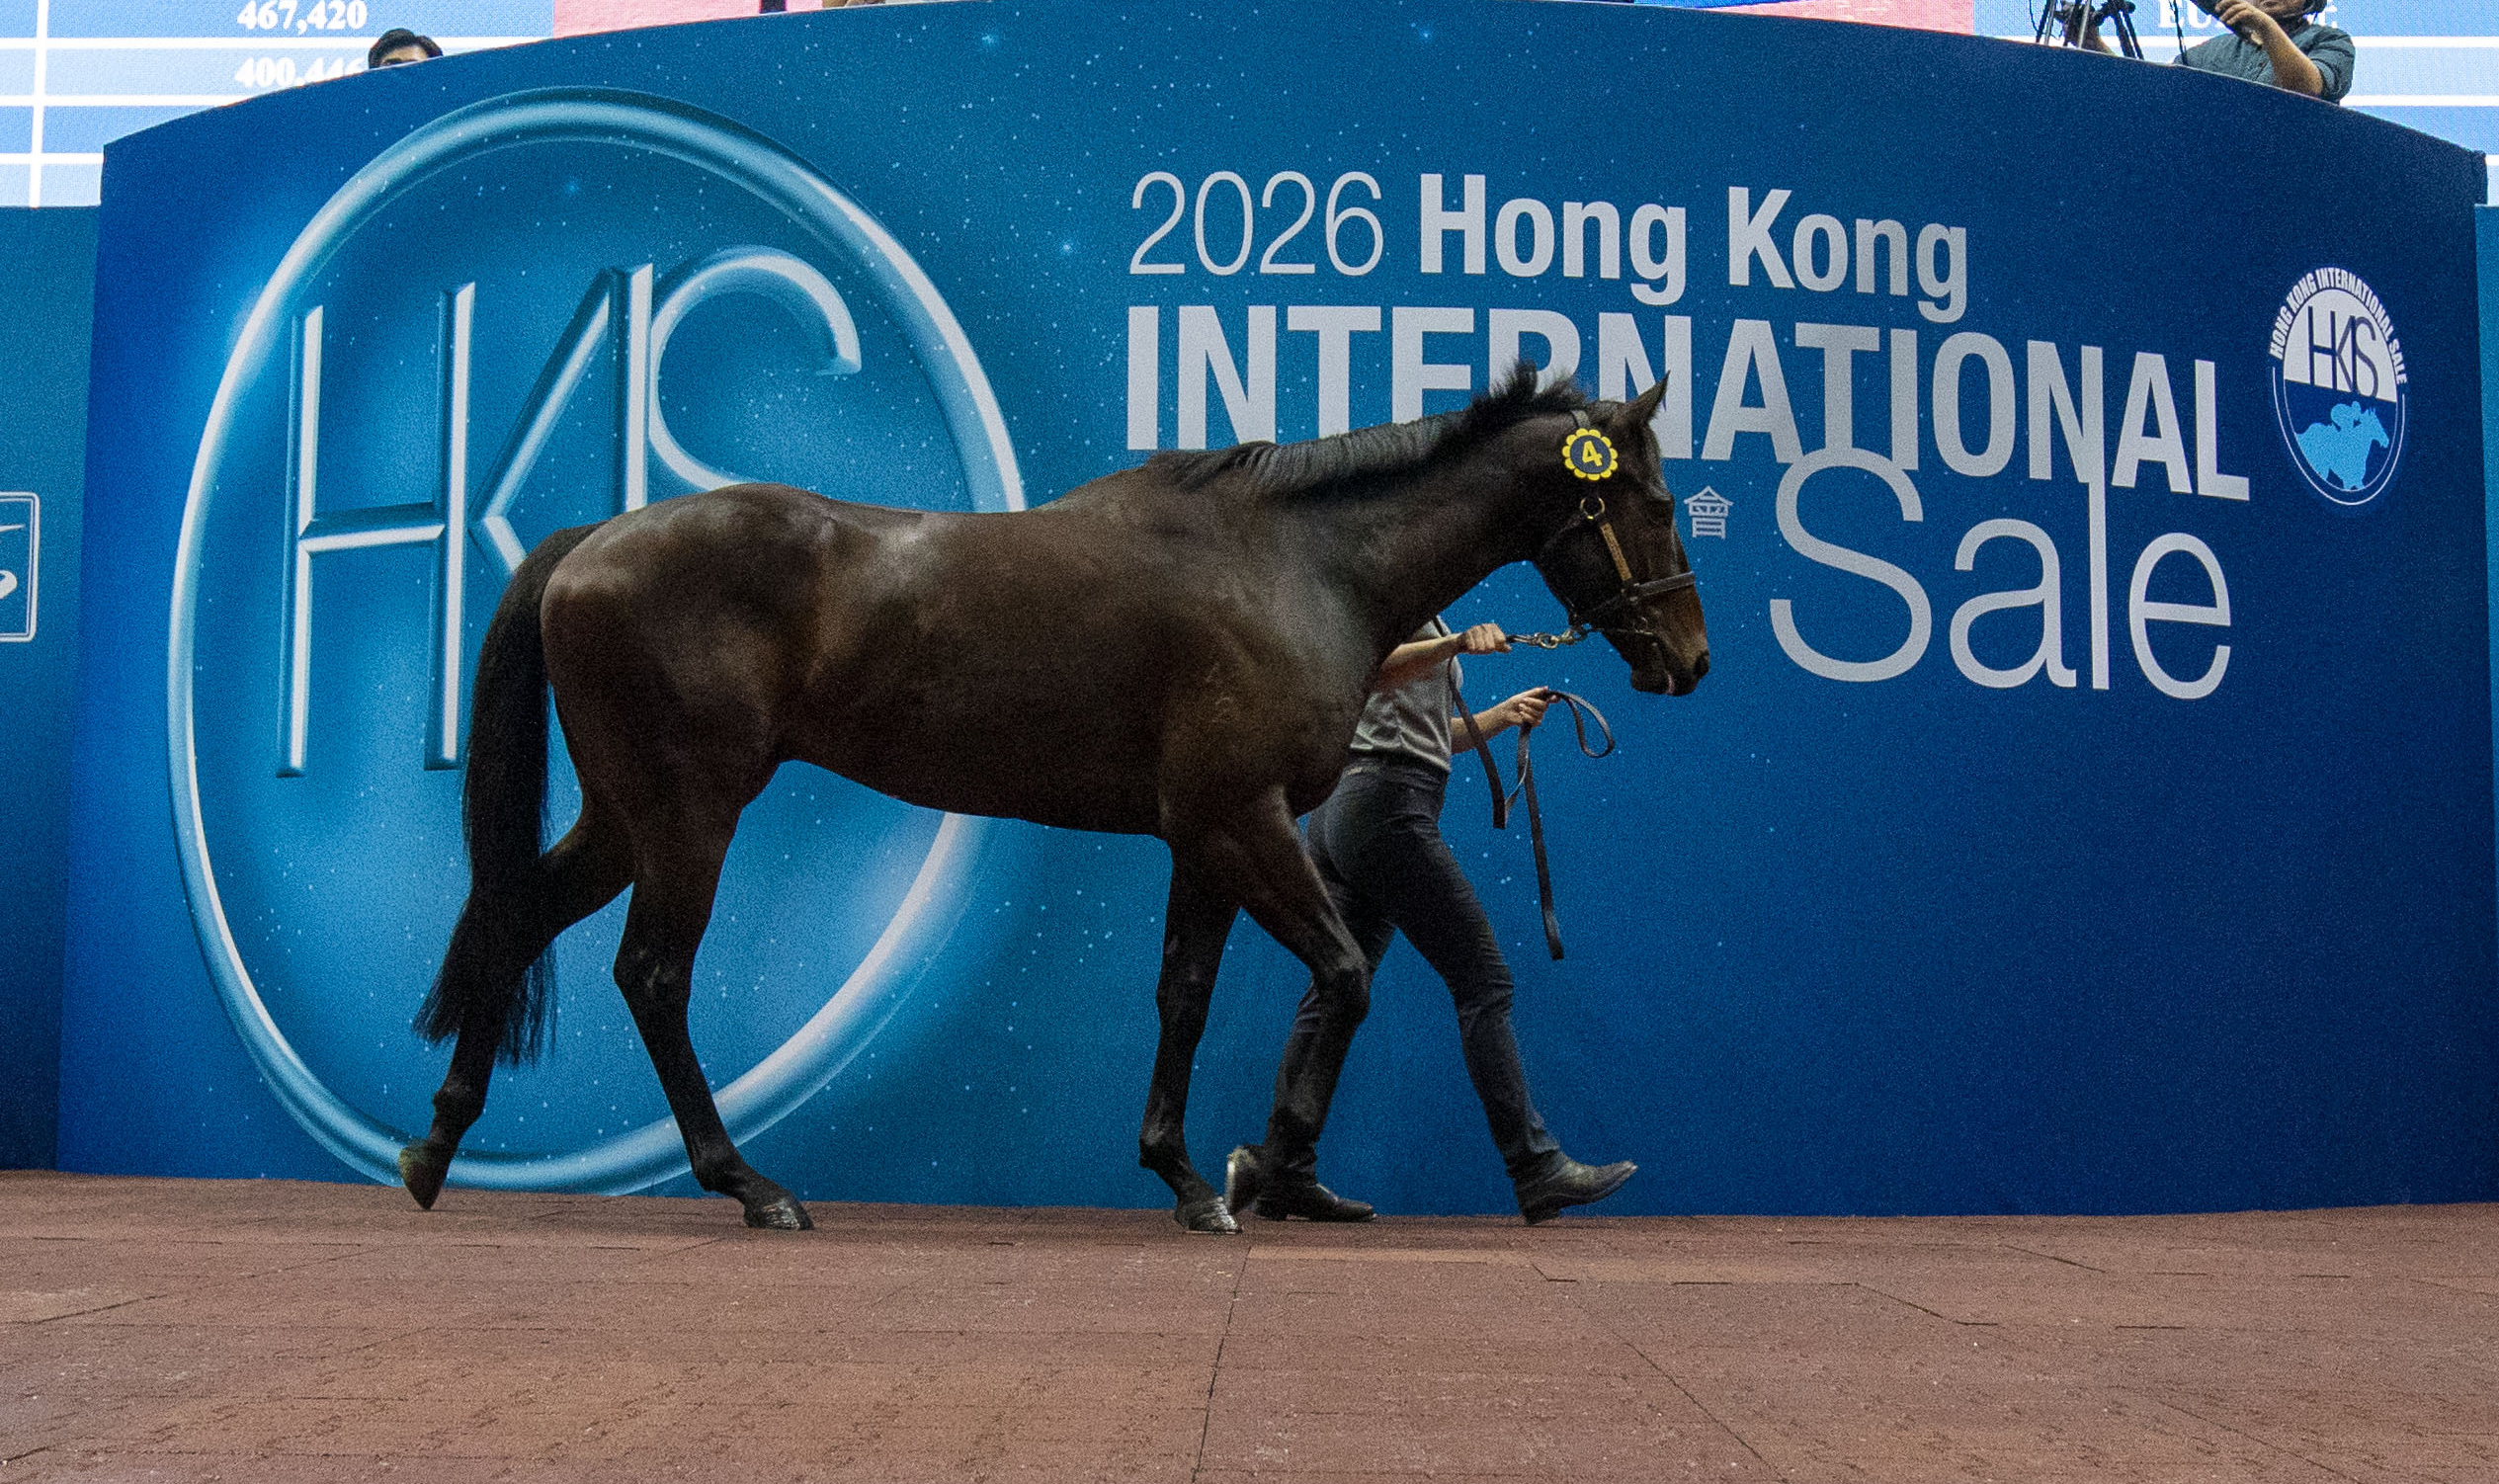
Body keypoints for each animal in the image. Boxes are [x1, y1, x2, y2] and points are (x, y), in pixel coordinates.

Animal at [395, 366, 1708, 1233]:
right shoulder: (1244, 819)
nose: (1688, 660)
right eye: (1650, 500)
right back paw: (751, 1186)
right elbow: (1343, 975)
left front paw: (1190, 1177)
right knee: (653, 975)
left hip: (628, 817)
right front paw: (1263, 1170)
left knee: (518, 911)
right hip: (689, 814)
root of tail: (593, 538)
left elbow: (1185, 995)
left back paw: (436, 1145)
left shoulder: (1205, 836)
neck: (1293, 565)